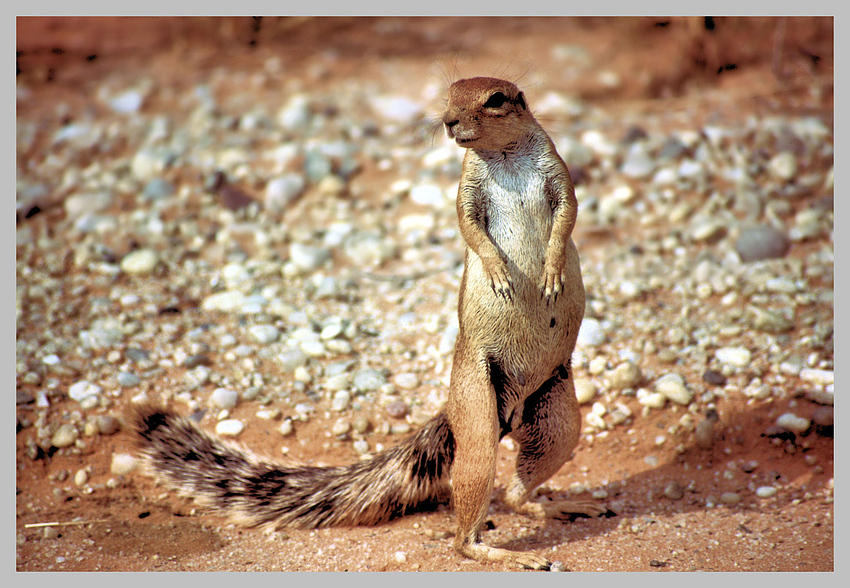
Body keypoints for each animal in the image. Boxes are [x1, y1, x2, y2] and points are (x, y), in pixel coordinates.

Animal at [131, 76, 604, 568]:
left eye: (494, 99)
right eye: (450, 94)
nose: (449, 121)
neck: (505, 155)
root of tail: (504, 409)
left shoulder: (557, 172)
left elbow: (567, 215)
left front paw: (552, 271)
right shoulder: (468, 191)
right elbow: (470, 228)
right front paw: (497, 272)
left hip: (558, 421)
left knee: (516, 491)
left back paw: (562, 506)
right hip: (477, 412)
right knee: (466, 528)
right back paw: (504, 553)